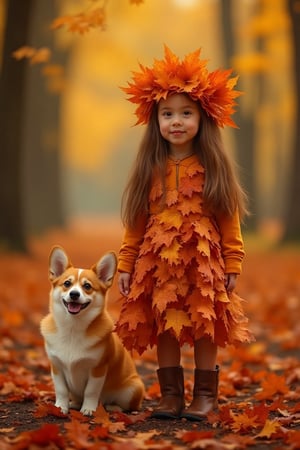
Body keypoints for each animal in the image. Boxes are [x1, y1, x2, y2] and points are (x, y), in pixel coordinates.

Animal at [40, 246, 145, 414]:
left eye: (87, 286)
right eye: (67, 283)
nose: (74, 294)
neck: (73, 327)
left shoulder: (97, 369)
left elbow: (91, 391)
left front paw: (89, 409)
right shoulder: (57, 367)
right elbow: (61, 390)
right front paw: (60, 407)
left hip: (132, 389)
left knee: (124, 405)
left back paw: (111, 407)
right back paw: (74, 404)